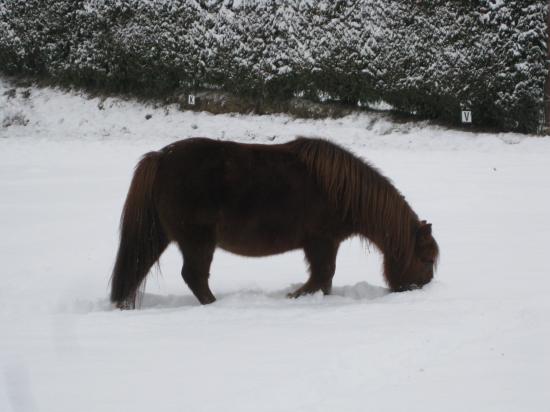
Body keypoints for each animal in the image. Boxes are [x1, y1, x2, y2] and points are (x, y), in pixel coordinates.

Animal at [112, 137, 440, 308]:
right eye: (425, 259)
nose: (420, 287)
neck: (342, 190)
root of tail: (161, 158)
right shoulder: (321, 241)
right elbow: (321, 276)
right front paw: (295, 296)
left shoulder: (324, 243)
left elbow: (325, 280)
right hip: (197, 242)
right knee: (194, 276)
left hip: (161, 235)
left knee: (140, 267)